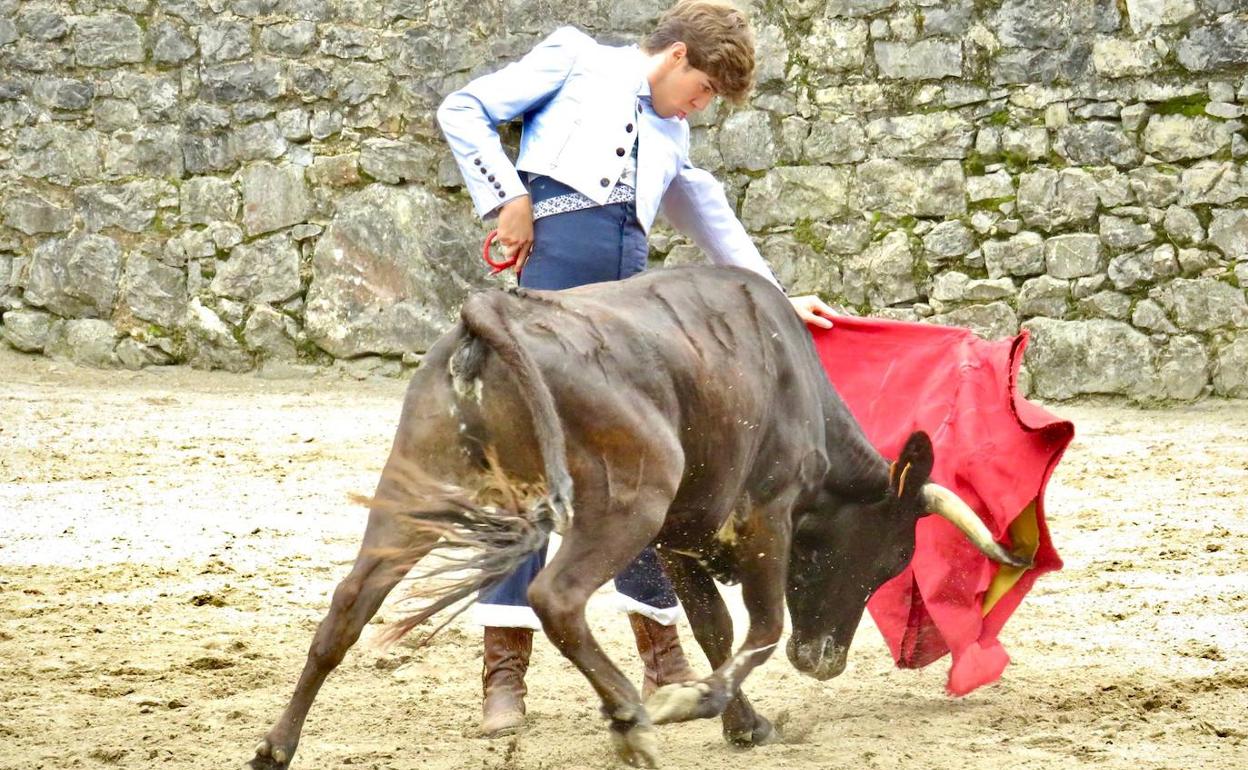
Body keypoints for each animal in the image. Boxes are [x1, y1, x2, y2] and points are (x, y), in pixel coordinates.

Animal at [248, 265, 1028, 768]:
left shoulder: (681, 541)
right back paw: (631, 717)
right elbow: (761, 629)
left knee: (349, 605)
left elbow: (715, 630)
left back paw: (276, 746)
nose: (825, 663)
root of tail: (493, 314)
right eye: (894, 556)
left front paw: (744, 724)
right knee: (555, 597)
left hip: (418, 484)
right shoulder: (764, 520)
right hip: (628, 496)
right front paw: (695, 706)